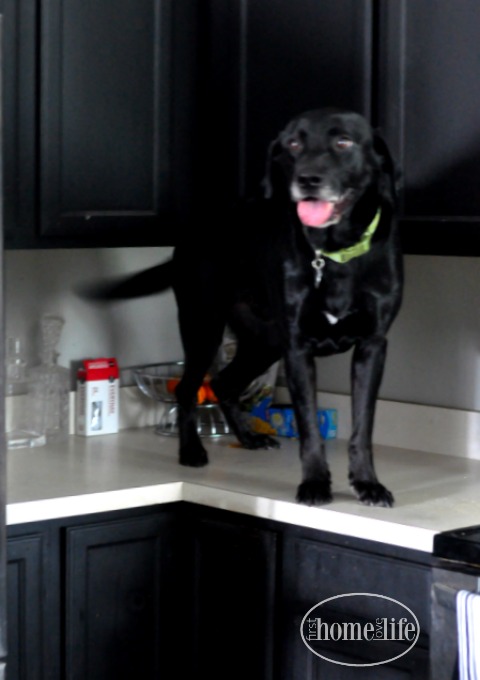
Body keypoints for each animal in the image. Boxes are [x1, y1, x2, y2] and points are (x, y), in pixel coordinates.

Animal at [88, 109, 404, 508]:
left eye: (343, 141)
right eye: (294, 144)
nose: (308, 179)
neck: (334, 252)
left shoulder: (372, 346)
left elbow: (363, 426)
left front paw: (367, 484)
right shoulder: (297, 349)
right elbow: (309, 427)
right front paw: (315, 483)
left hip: (263, 342)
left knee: (223, 382)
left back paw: (249, 437)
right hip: (203, 324)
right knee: (188, 388)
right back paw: (191, 451)